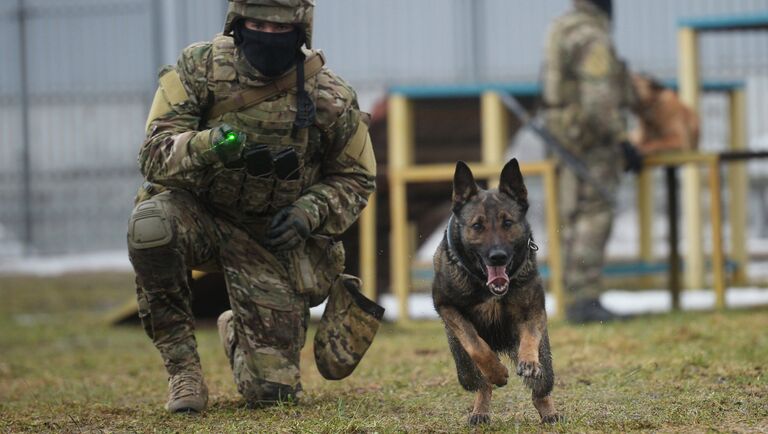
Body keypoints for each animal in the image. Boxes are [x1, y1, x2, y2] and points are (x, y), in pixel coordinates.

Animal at [432, 159, 560, 424]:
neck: (486, 285)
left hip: (546, 362)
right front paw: (497, 371)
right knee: (481, 384)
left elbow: (530, 336)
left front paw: (528, 361)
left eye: (507, 223)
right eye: (477, 226)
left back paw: (548, 412)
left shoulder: (533, 310)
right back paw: (480, 409)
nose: (497, 256)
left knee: (541, 389)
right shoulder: (446, 306)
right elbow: (476, 345)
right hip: (463, 366)